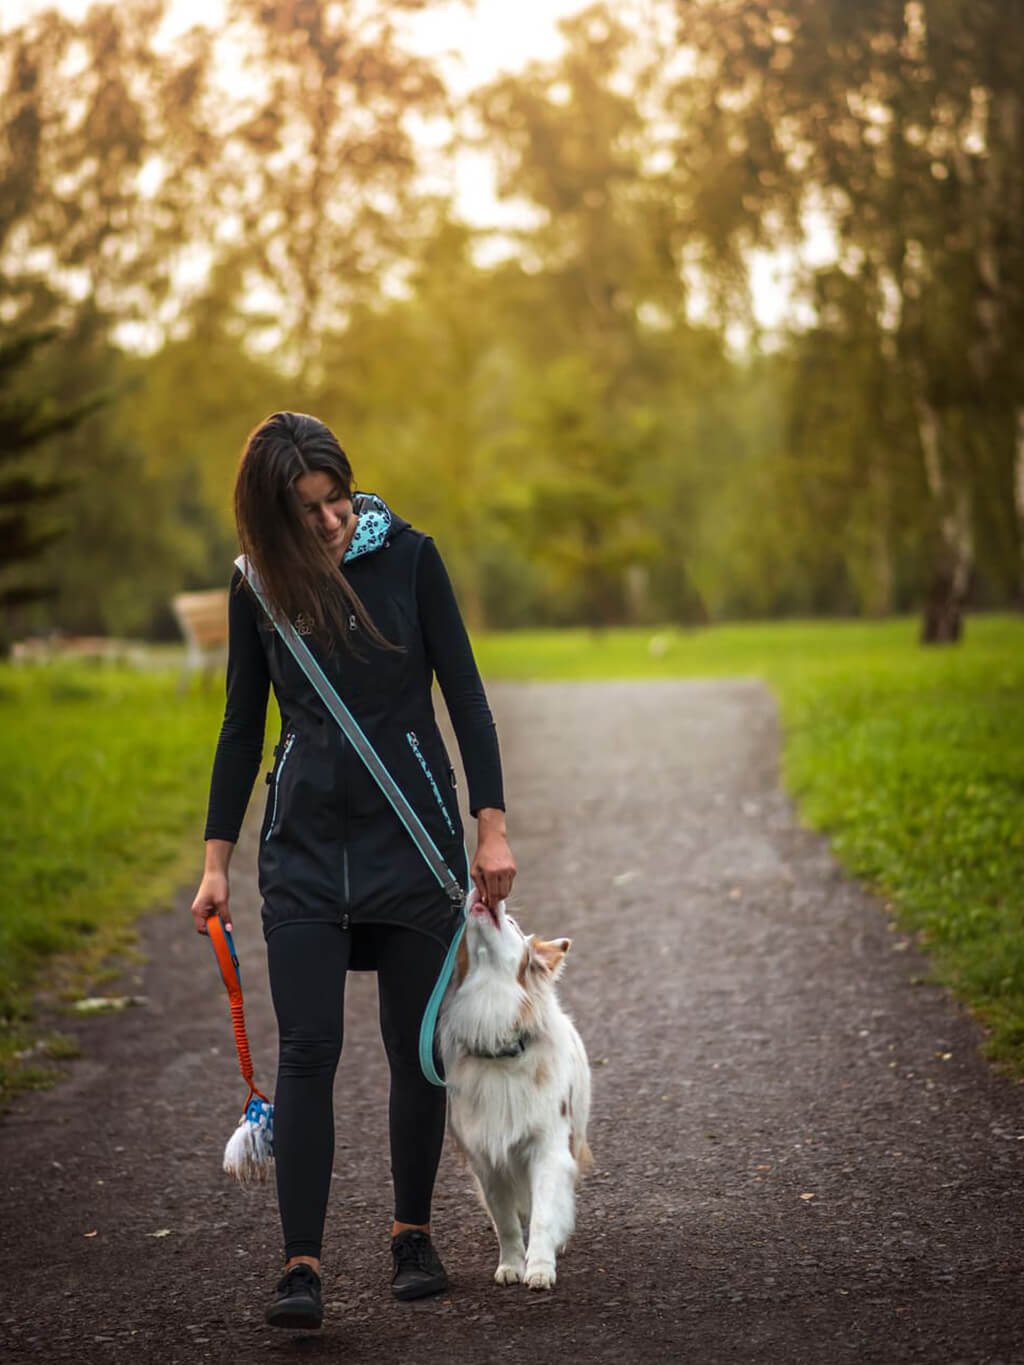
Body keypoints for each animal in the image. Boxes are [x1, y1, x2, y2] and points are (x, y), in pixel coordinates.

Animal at [436, 889, 589, 1283]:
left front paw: (539, 1267)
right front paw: (510, 1265)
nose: (476, 891)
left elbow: (545, 1214)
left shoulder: (548, 1148)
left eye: (513, 923)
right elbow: (504, 1221)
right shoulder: (486, 1160)